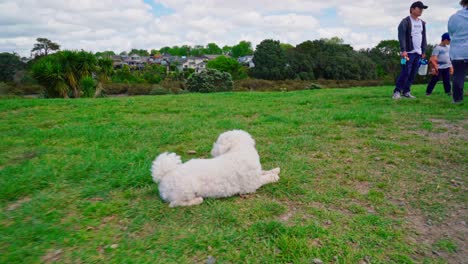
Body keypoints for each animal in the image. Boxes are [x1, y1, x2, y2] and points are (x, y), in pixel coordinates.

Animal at [152, 129, 280, 207]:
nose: (212, 151)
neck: (239, 150)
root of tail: (164, 175)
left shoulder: (256, 174)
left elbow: (263, 172)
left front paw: (275, 170)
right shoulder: (251, 185)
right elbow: (264, 179)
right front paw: (274, 177)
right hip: (185, 191)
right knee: (175, 203)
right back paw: (197, 200)